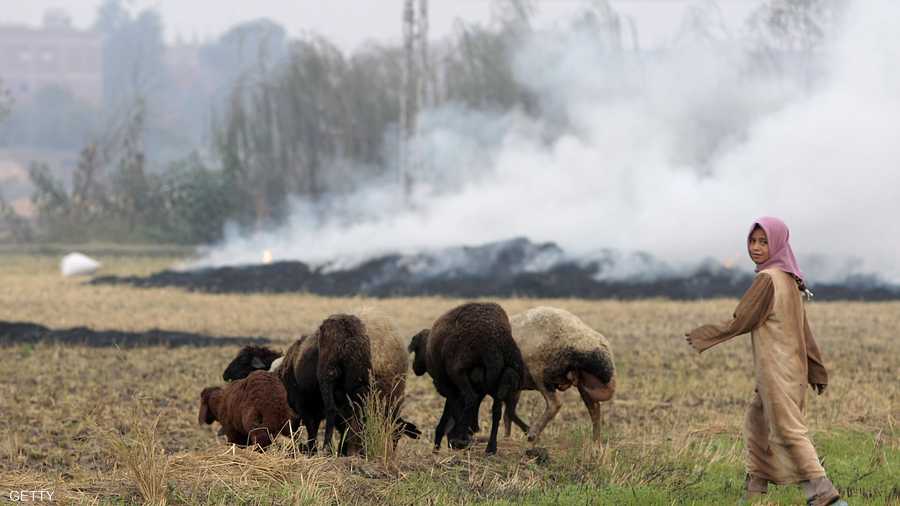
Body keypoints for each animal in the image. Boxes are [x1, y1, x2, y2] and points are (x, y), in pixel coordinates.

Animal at [408, 300, 528, 454]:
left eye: (416, 350)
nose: (415, 368)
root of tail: (493, 343)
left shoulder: (446, 386)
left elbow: (455, 409)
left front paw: (457, 437)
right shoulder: (472, 388)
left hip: (459, 371)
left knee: (471, 398)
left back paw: (461, 439)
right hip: (503, 378)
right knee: (496, 410)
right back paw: (490, 448)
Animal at [510, 304, 616, 442]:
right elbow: (509, 413)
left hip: (540, 371)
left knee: (555, 403)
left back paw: (532, 434)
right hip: (583, 382)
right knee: (595, 409)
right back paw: (596, 444)